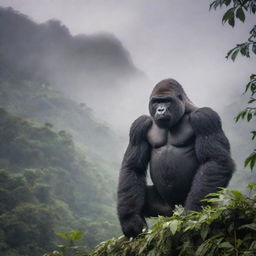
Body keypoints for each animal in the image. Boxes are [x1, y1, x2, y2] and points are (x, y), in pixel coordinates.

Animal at [117, 78, 235, 238]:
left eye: (166, 101)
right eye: (156, 102)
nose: (160, 110)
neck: (184, 110)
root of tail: (172, 212)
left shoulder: (205, 117)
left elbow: (214, 160)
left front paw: (193, 211)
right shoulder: (139, 124)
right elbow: (133, 168)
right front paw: (130, 220)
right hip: (165, 211)